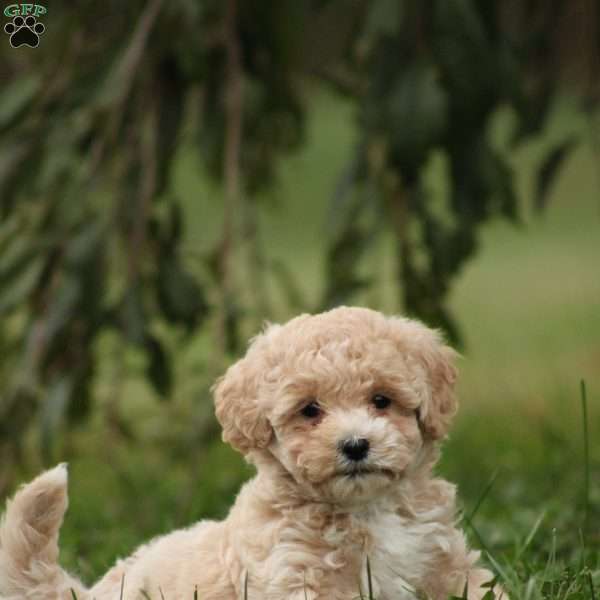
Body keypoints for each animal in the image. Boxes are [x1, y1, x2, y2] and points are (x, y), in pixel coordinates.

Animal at [0, 310, 500, 600]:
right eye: (310, 410)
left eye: (381, 400)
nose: (356, 445)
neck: (365, 510)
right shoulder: (299, 579)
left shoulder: (444, 562)